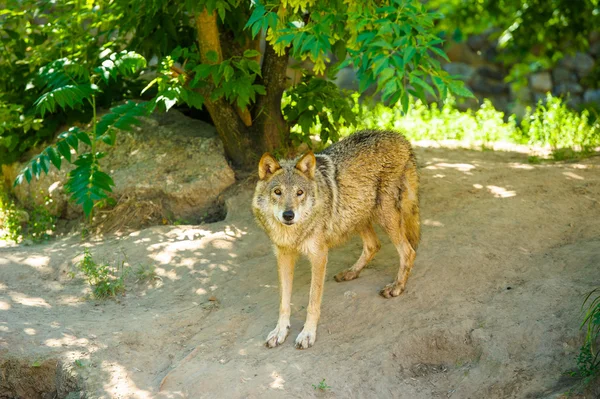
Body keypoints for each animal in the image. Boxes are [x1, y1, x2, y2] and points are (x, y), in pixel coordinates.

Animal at [251, 130, 420, 348]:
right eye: (277, 192)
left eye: (299, 193)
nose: (288, 215)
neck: (294, 233)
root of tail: (400, 137)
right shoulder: (283, 256)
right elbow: (284, 302)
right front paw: (280, 331)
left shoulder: (319, 256)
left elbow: (313, 301)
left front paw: (307, 334)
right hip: (355, 214)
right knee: (374, 245)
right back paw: (351, 273)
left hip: (385, 216)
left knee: (408, 251)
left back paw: (396, 287)